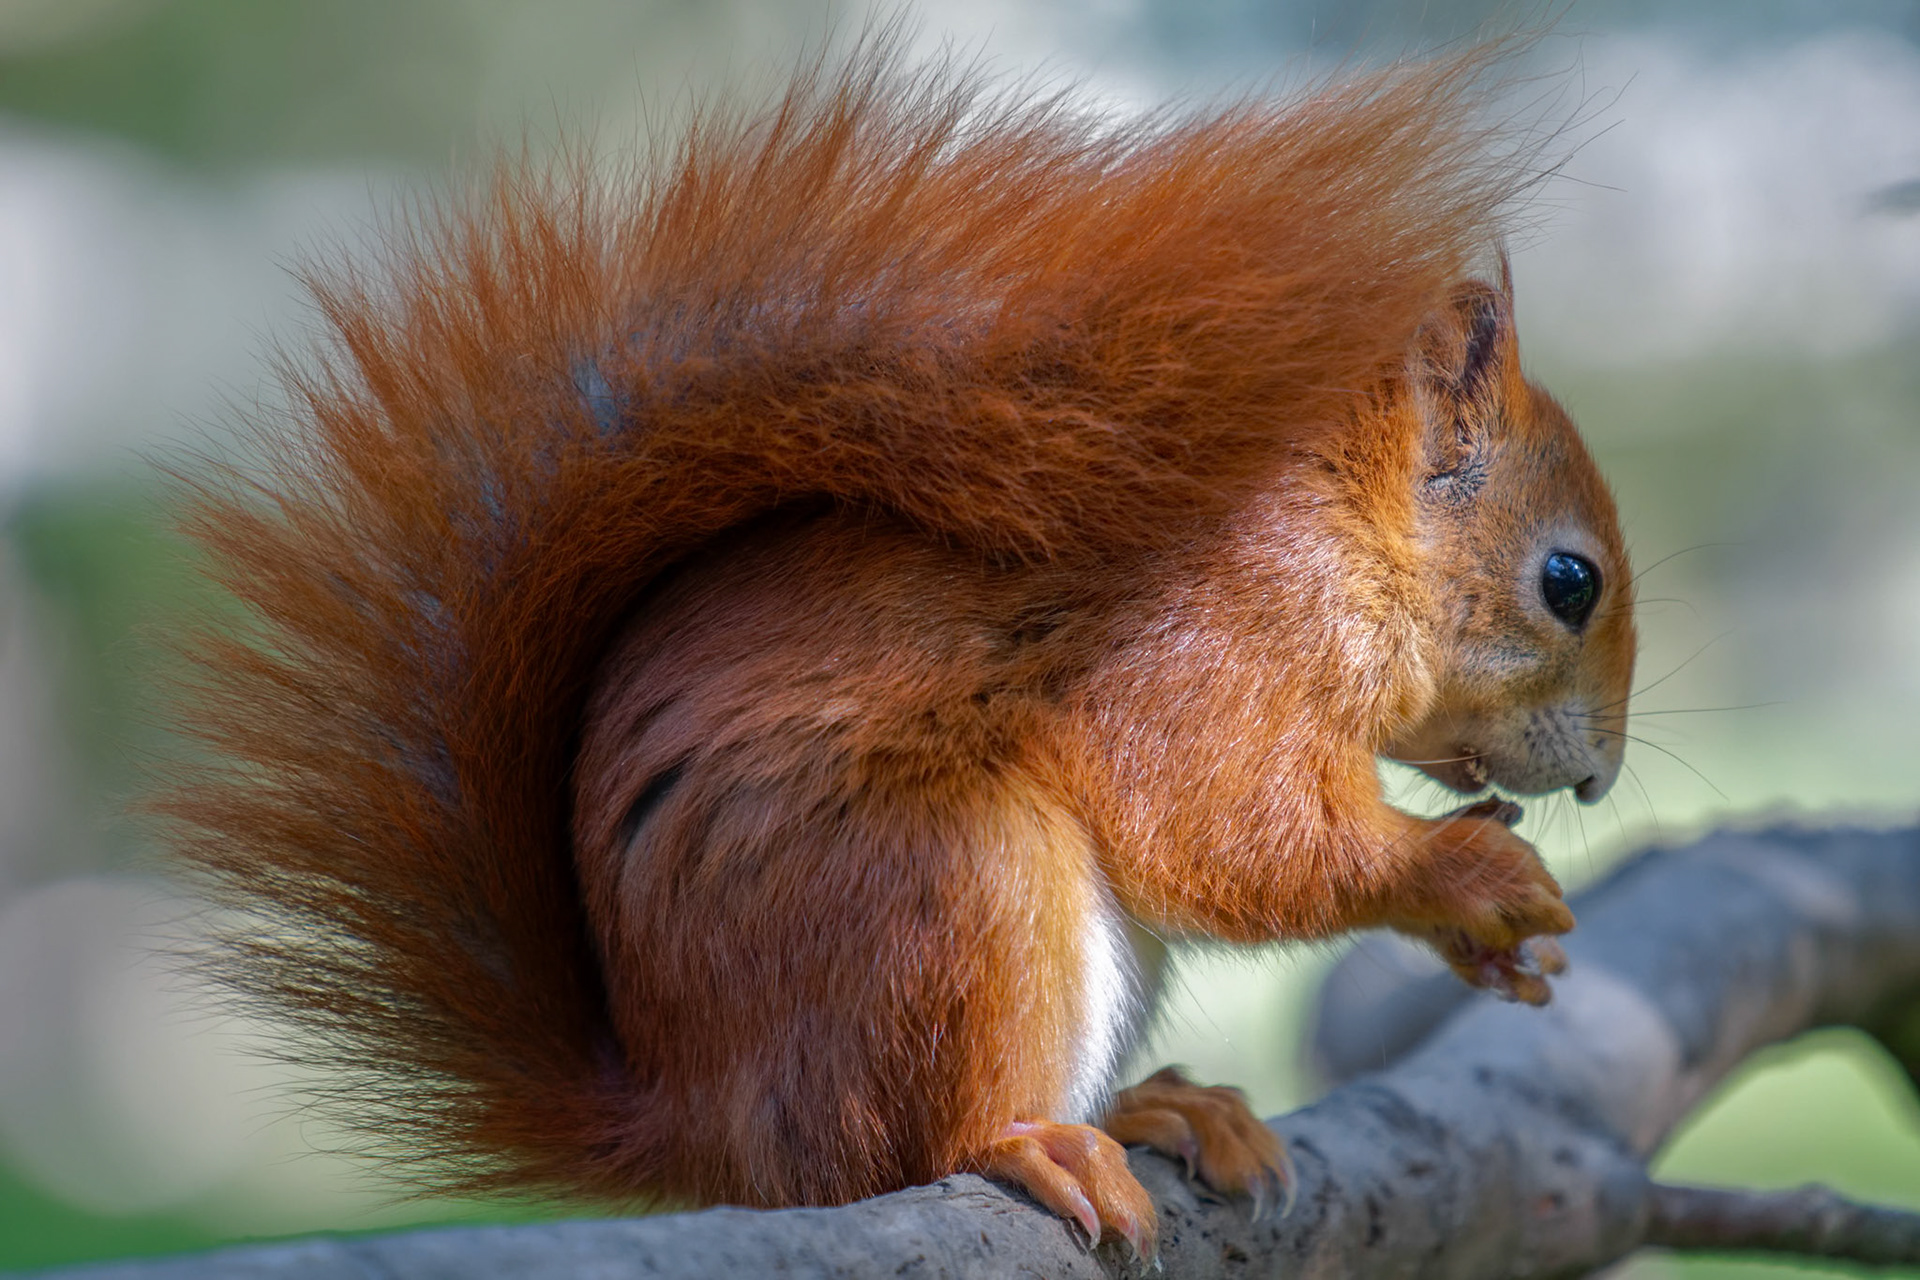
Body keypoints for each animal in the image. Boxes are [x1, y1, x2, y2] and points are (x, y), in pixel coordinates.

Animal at [163, 34, 1635, 1260]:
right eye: (1569, 582)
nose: (1607, 780)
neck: (1336, 522)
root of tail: (705, 1124)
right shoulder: (1200, 645)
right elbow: (1224, 830)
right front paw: (1464, 875)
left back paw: (1163, 1110)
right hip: (949, 887)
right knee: (904, 1145)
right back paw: (1034, 1144)